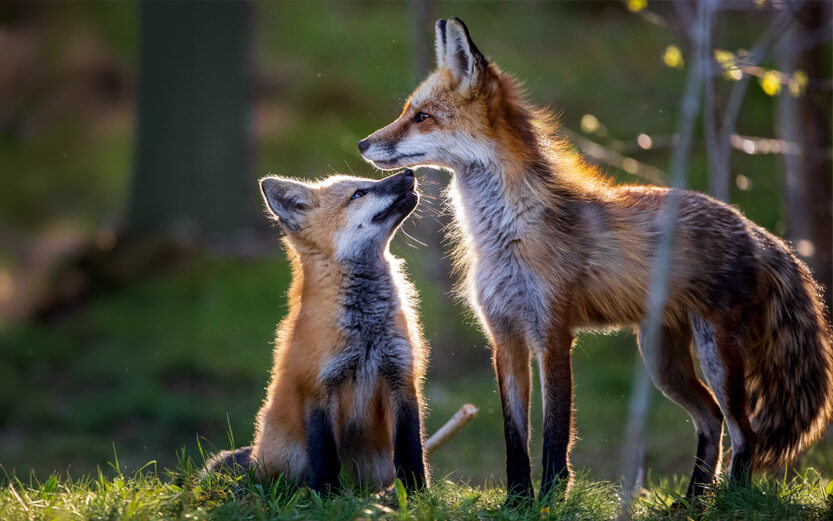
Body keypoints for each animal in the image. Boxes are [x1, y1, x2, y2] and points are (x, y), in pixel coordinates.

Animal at [204, 169, 428, 493]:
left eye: (367, 182)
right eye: (358, 194)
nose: (409, 172)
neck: (366, 331)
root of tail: (256, 456)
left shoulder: (402, 377)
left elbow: (412, 449)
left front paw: (417, 493)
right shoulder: (317, 388)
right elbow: (325, 455)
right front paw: (328, 495)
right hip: (287, 457)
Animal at [359, 17, 833, 501]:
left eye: (422, 117)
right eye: (408, 111)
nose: (362, 144)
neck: (504, 237)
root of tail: (757, 231)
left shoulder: (552, 334)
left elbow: (554, 434)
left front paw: (551, 499)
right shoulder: (504, 337)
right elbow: (515, 437)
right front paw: (517, 500)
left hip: (715, 354)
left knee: (745, 432)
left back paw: (727, 499)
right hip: (662, 362)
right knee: (711, 419)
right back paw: (692, 500)